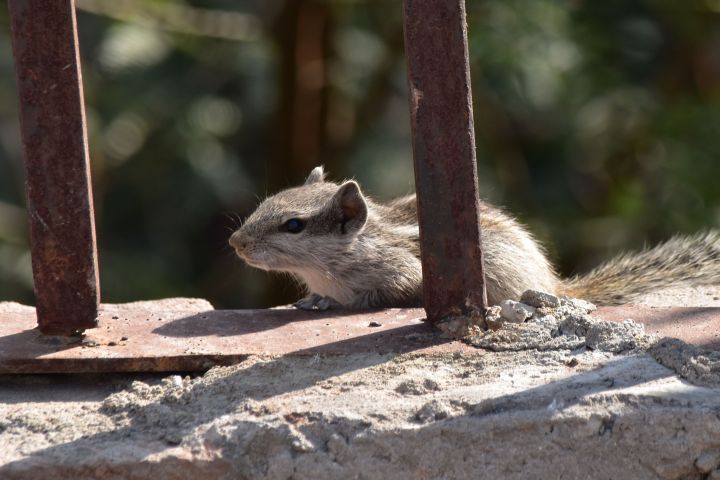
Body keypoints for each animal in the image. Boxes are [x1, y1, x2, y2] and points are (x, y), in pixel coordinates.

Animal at [231, 167, 720, 310]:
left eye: (294, 225)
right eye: (267, 201)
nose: (235, 242)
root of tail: (556, 285)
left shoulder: (403, 269)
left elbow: (392, 291)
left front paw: (345, 303)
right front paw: (311, 301)